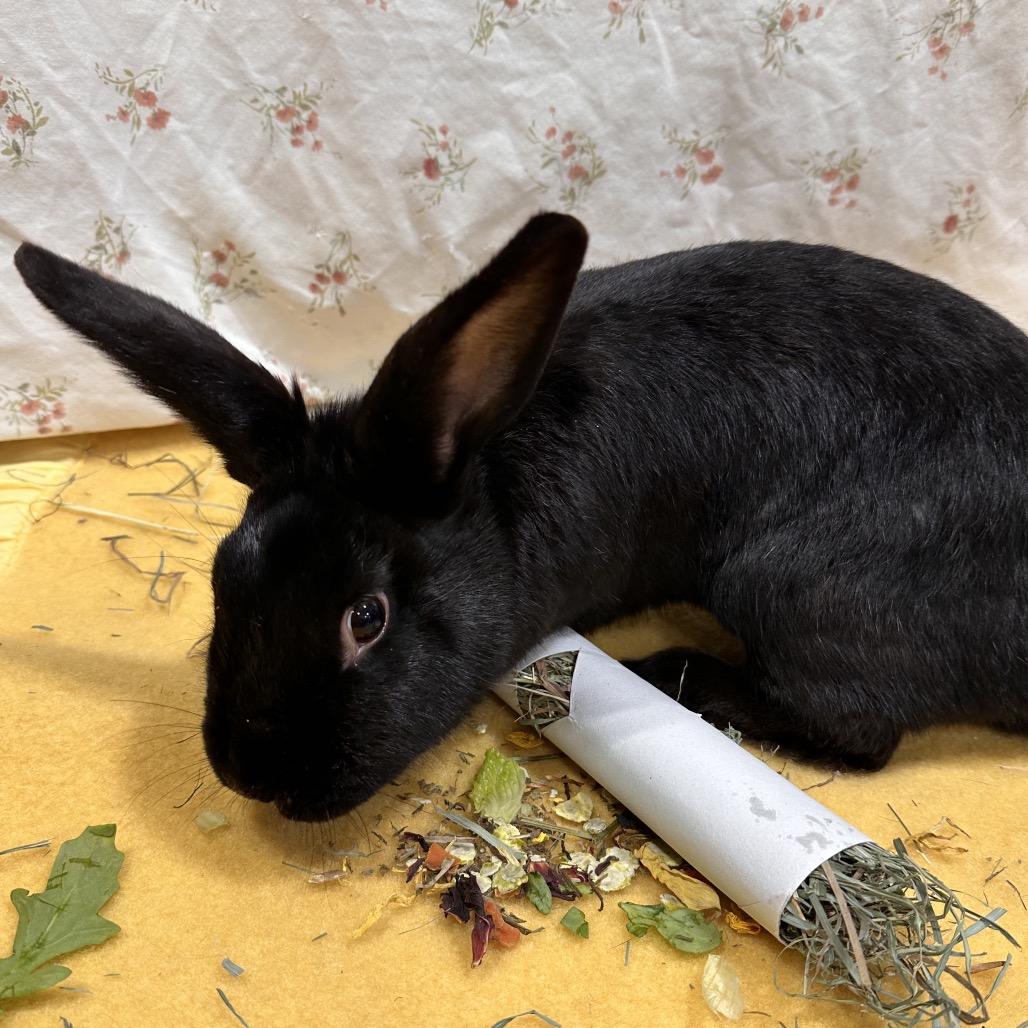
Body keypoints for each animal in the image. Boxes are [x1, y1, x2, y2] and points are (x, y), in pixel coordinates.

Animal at [14, 212, 1028, 822]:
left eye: (367, 617)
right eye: (227, 579)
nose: (252, 778)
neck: (487, 482)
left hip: (786, 587)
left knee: (862, 734)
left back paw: (674, 672)